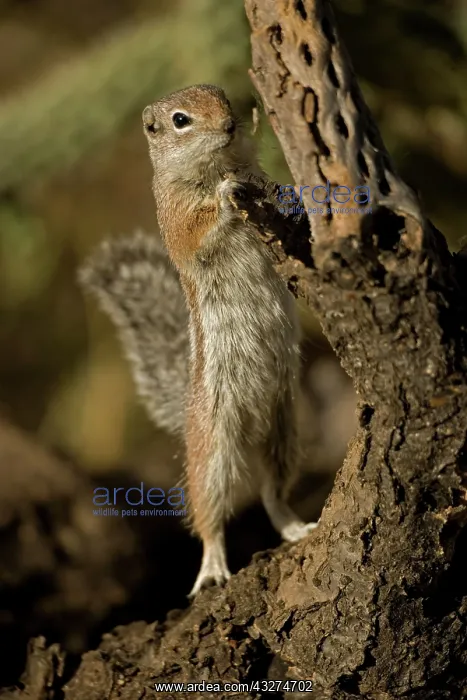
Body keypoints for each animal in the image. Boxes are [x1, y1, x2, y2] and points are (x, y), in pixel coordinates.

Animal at [80, 84, 317, 597]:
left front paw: (287, 194)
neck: (216, 165)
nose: (229, 124)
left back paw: (293, 526)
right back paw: (211, 568)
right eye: (180, 120)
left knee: (272, 492)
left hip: (285, 432)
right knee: (210, 516)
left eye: (223, 97)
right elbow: (201, 228)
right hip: (213, 452)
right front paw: (226, 198)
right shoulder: (176, 220)